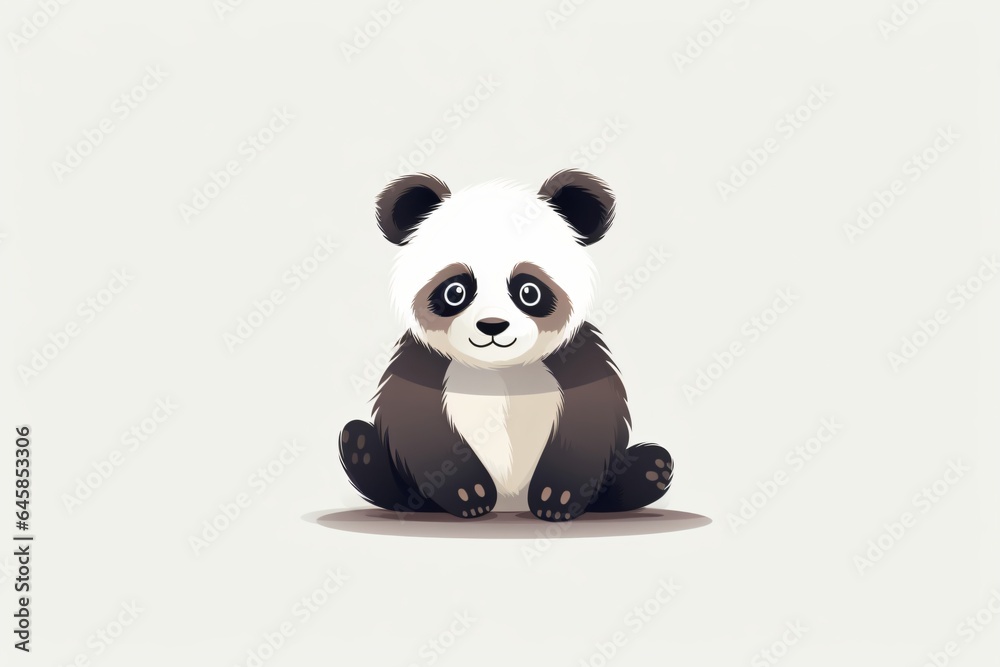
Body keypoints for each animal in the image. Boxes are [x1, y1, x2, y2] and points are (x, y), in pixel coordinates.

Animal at [340, 169, 673, 522]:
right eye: (455, 291)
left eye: (529, 291)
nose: (492, 326)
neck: (499, 366)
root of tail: (510, 505)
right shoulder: (421, 358)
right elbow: (414, 421)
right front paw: (469, 494)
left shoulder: (577, 355)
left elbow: (591, 419)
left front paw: (557, 498)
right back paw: (361, 450)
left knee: (650, 462)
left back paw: (651, 470)